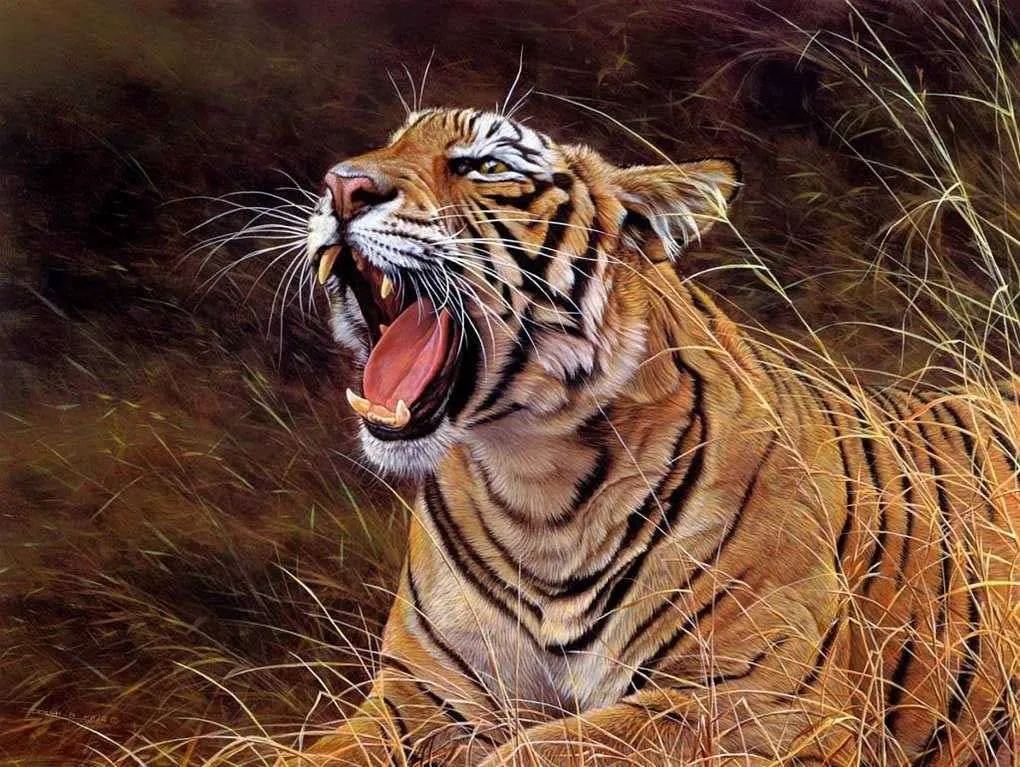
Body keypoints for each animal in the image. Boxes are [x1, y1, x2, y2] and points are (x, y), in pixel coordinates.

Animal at [282, 106, 1019, 766]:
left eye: (487, 166)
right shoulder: (419, 699)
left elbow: (552, 748)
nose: (343, 186)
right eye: (391, 142)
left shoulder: (758, 704)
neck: (536, 487)